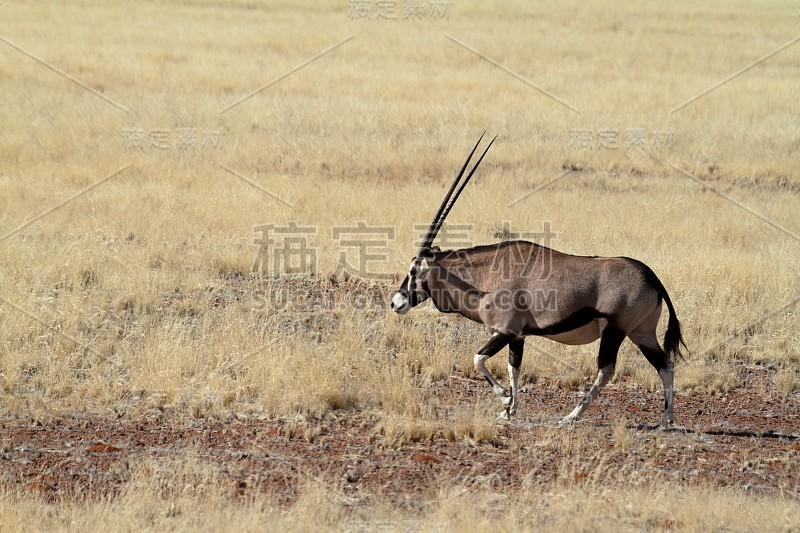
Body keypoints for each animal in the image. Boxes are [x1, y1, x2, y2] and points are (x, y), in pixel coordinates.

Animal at [390, 134, 684, 428]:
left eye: (414, 269)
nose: (396, 301)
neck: (486, 275)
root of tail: (651, 277)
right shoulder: (518, 335)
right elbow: (513, 367)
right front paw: (508, 410)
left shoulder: (505, 331)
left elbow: (478, 360)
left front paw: (505, 398)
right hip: (641, 332)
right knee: (664, 365)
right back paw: (666, 419)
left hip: (615, 330)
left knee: (606, 370)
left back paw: (571, 416)